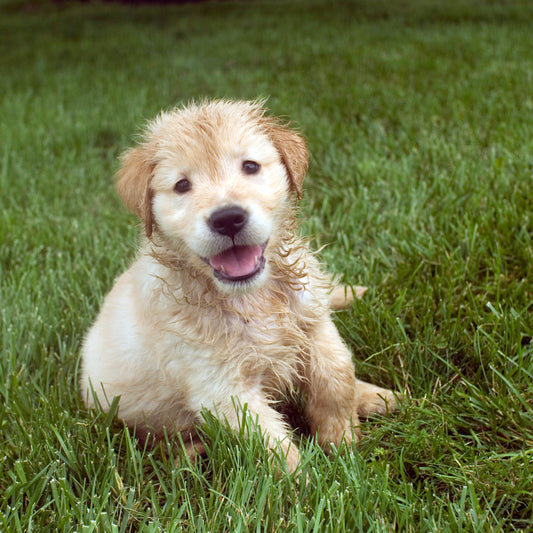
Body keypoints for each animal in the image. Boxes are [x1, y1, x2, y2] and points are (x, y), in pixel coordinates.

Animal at [80, 98, 394, 470]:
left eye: (250, 166)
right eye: (182, 185)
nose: (228, 218)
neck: (251, 297)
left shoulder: (314, 325)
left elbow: (336, 376)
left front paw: (342, 440)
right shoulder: (220, 385)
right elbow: (272, 443)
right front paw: (308, 478)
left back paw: (376, 395)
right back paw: (190, 453)